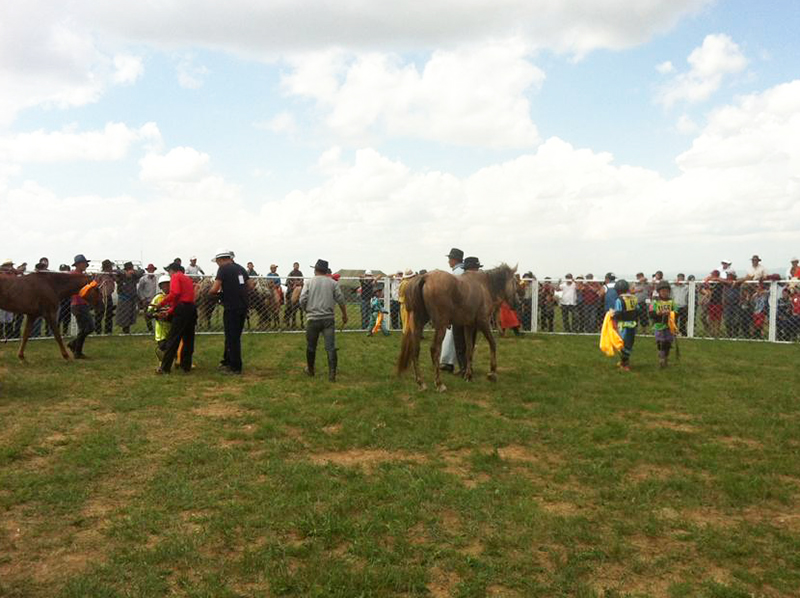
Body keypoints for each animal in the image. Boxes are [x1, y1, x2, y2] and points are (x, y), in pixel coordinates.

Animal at [398, 264, 520, 392]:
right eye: (515, 282)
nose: (517, 303)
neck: (484, 285)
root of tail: (425, 277)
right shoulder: (484, 323)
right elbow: (492, 343)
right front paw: (492, 373)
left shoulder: (469, 326)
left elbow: (469, 349)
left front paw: (468, 375)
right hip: (441, 325)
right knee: (434, 349)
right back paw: (439, 383)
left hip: (418, 323)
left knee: (415, 349)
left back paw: (421, 382)